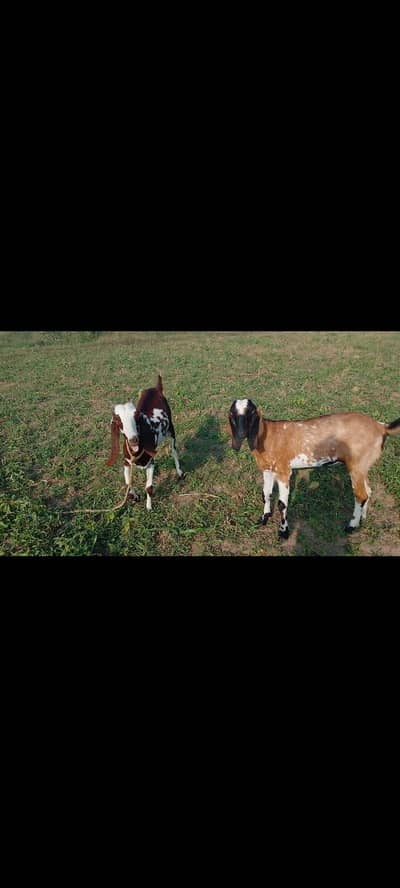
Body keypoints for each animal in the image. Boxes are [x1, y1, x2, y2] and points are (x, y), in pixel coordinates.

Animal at [107, 374, 185, 510]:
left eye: (136, 416)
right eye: (117, 421)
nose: (133, 439)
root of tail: (156, 388)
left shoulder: (150, 463)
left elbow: (149, 487)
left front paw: (149, 507)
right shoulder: (126, 462)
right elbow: (127, 483)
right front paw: (134, 496)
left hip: (171, 429)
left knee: (174, 450)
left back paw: (179, 472)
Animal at [228, 399, 400, 537]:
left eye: (251, 412)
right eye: (233, 414)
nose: (242, 433)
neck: (269, 435)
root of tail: (381, 427)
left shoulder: (284, 471)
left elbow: (282, 504)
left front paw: (284, 532)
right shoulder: (267, 470)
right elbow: (266, 494)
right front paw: (264, 518)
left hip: (356, 467)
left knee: (361, 495)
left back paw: (351, 526)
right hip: (362, 467)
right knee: (368, 491)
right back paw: (361, 519)